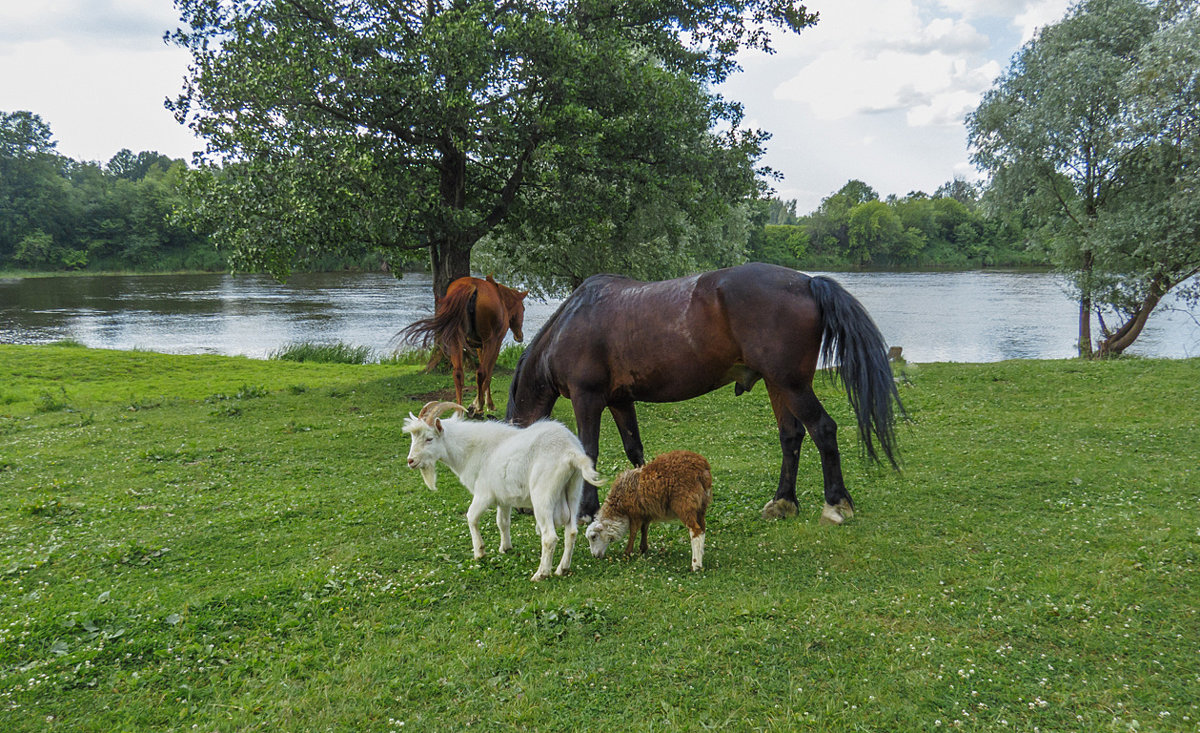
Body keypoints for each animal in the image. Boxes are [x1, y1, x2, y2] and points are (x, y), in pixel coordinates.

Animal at [400, 275, 528, 415]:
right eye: (523, 309)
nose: (519, 336)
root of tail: (471, 287)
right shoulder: (495, 343)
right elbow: (488, 374)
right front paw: (483, 404)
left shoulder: (479, 346)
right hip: (489, 340)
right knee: (481, 372)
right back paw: (477, 407)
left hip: (455, 339)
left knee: (458, 374)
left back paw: (459, 410)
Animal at [405, 400, 609, 578]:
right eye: (413, 437)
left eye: (429, 438)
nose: (411, 461)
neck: (471, 450)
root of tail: (570, 453)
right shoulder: (503, 498)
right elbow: (502, 522)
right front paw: (505, 548)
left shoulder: (483, 493)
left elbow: (471, 517)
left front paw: (479, 552)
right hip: (573, 490)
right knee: (571, 531)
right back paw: (562, 569)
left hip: (543, 495)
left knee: (550, 537)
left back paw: (541, 574)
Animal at [499, 263, 902, 523]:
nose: (518, 508)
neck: (570, 322)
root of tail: (807, 283)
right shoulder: (619, 400)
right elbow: (634, 449)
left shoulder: (588, 399)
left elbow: (589, 452)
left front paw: (586, 510)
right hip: (778, 385)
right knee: (791, 435)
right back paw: (783, 502)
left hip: (792, 385)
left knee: (823, 429)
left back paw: (836, 504)